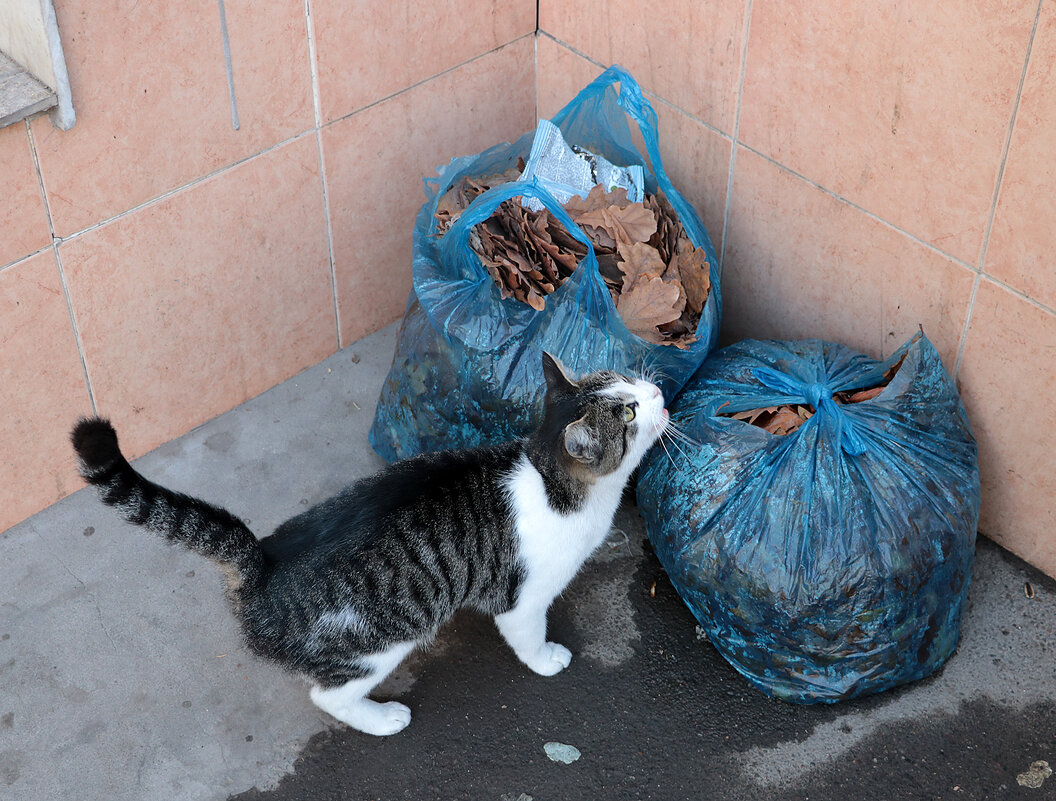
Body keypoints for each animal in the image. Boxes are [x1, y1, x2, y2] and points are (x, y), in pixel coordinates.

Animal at [72, 354, 667, 734]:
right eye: (628, 412)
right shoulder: (521, 598)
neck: (551, 480)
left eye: (626, 378)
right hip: (377, 642)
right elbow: (527, 636)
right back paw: (383, 719)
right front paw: (546, 660)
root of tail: (263, 563)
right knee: (329, 695)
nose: (659, 392)